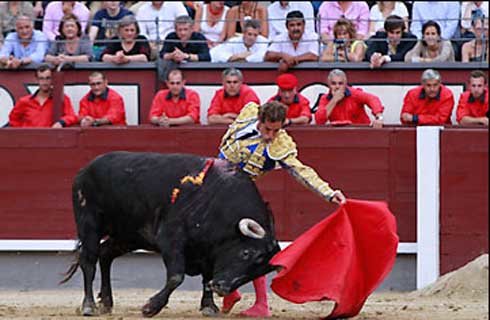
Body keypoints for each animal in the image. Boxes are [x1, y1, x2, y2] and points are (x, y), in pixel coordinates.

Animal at [62, 152, 280, 318]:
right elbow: (176, 276)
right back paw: (89, 306)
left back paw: (106, 303)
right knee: (89, 261)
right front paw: (150, 307)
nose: (222, 287)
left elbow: (206, 276)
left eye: (257, 271)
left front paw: (209, 306)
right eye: (246, 253)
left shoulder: (208, 250)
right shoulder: (171, 239)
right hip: (89, 224)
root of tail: (85, 169)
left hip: (128, 235)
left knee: (106, 254)